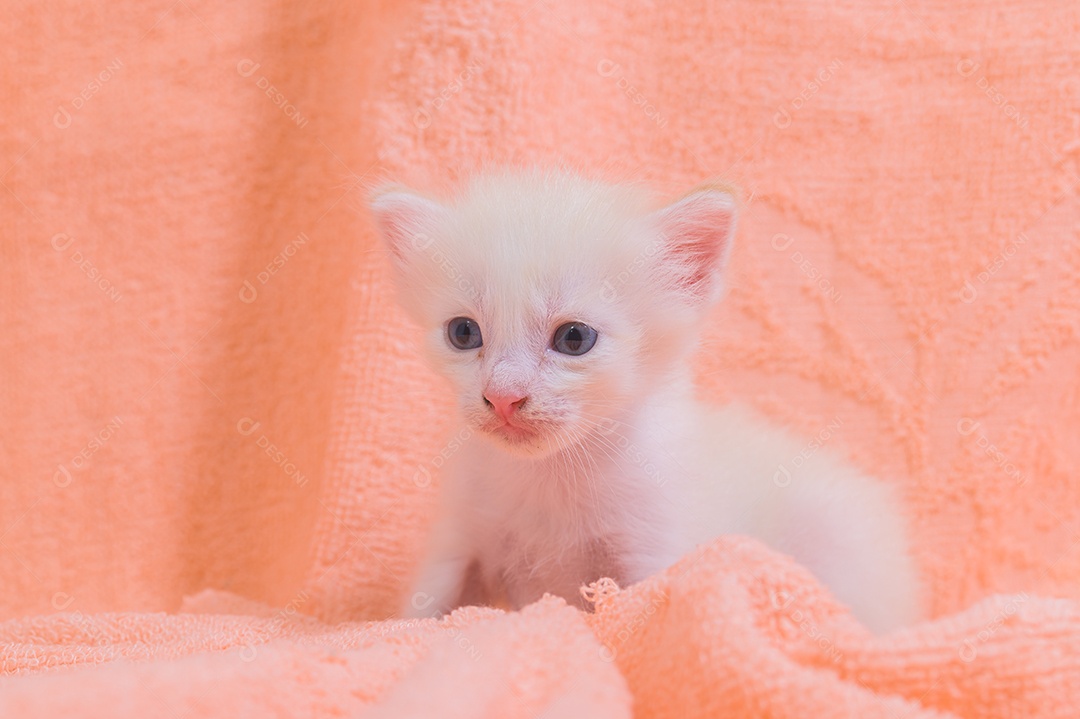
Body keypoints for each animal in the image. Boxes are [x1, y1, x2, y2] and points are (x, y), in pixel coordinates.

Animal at [371, 170, 920, 630]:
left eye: (574, 338)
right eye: (463, 333)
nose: (503, 397)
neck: (552, 477)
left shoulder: (653, 551)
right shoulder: (459, 538)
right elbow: (419, 616)